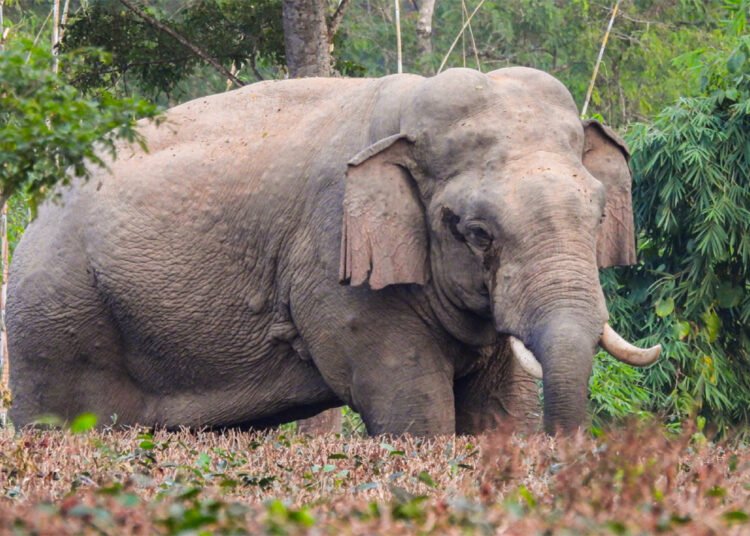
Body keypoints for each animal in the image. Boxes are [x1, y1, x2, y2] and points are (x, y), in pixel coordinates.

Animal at [7, 66, 661, 435]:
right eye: (475, 232)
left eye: (598, 214)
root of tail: (34, 215)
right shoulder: (334, 269)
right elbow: (410, 408)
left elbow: (499, 411)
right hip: (57, 320)